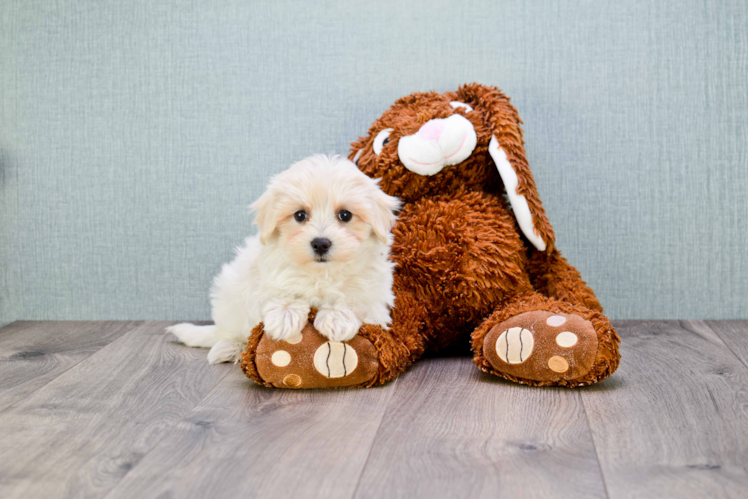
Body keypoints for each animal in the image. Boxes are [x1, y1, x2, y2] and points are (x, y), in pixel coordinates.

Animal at [167, 154, 400, 366]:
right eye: (299, 215)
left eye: (345, 215)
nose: (321, 243)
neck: (321, 273)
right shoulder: (268, 274)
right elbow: (280, 290)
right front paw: (285, 315)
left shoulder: (375, 297)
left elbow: (354, 298)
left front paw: (336, 318)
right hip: (228, 295)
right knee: (230, 331)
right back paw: (230, 348)